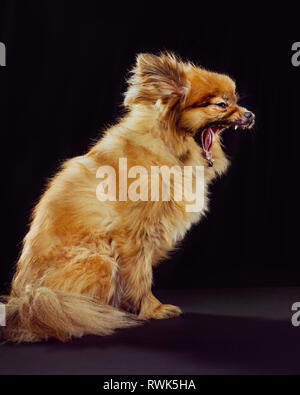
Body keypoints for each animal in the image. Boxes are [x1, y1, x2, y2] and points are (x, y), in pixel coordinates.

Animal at [0, 52, 253, 344]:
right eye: (222, 105)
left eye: (236, 101)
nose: (250, 114)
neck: (169, 148)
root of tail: (25, 297)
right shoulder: (134, 235)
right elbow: (141, 277)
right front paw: (152, 309)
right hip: (100, 262)